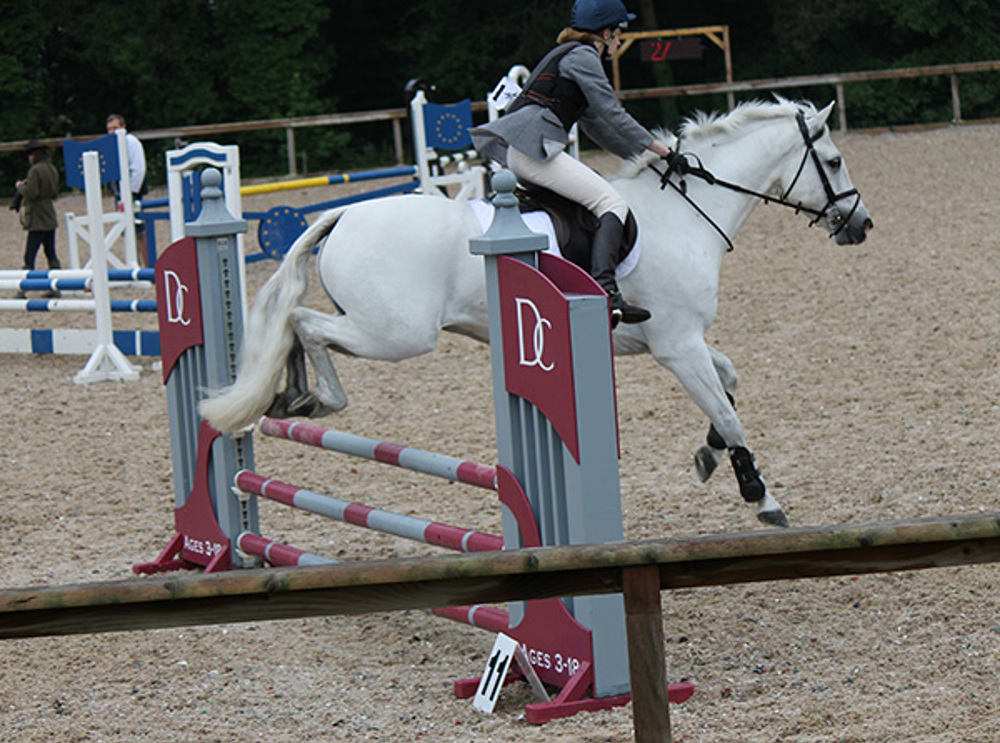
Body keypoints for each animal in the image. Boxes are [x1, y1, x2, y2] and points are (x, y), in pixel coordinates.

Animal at [201, 99, 868, 528]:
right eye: (834, 162)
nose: (860, 225)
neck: (687, 213)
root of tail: (347, 213)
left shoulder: (682, 343)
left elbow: (728, 385)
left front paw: (707, 455)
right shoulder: (677, 347)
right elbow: (729, 414)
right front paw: (761, 497)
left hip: (381, 328)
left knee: (296, 327)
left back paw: (291, 394)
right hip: (395, 333)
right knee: (304, 324)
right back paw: (315, 398)